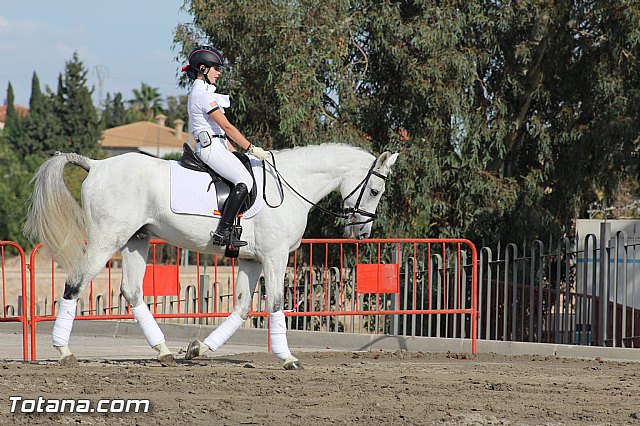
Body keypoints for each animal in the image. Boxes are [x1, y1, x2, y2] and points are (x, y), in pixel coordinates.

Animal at [24, 143, 399, 369]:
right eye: (375, 190)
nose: (362, 233)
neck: (291, 186)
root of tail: (97, 165)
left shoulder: (250, 260)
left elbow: (242, 309)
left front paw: (198, 349)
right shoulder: (274, 257)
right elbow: (276, 303)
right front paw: (288, 358)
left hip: (135, 241)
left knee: (132, 291)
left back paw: (164, 352)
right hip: (106, 239)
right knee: (75, 284)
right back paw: (64, 351)